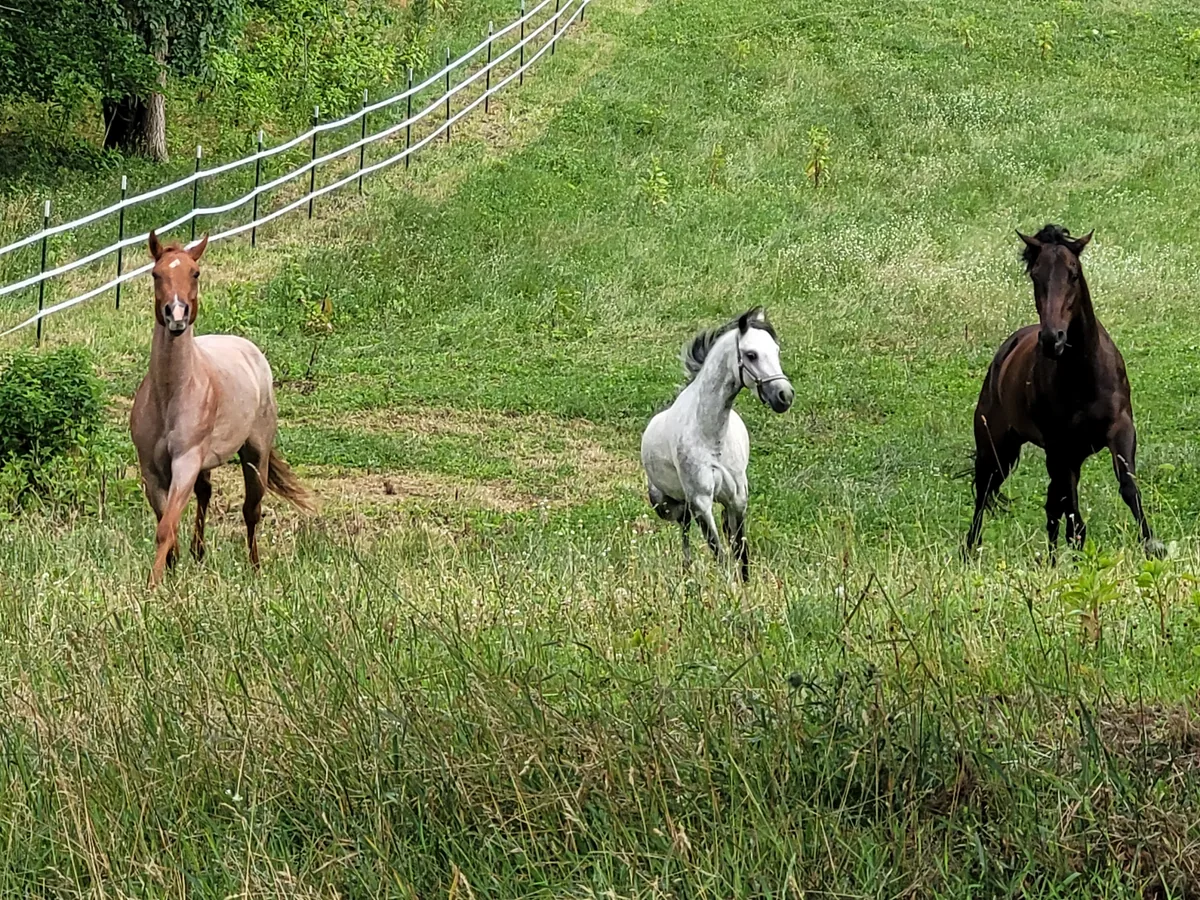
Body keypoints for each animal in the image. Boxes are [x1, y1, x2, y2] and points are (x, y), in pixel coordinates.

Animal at [130, 231, 315, 588]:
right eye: (156, 274)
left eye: (195, 273)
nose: (176, 315)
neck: (170, 396)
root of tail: (250, 351)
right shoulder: (151, 470)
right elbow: (166, 524)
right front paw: (170, 572)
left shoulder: (186, 461)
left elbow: (166, 527)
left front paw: (153, 585)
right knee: (206, 493)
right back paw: (198, 553)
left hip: (255, 454)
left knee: (251, 510)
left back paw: (255, 568)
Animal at [641, 307, 794, 581]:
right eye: (751, 355)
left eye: (776, 351)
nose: (784, 396)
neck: (712, 438)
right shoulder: (701, 502)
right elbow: (719, 552)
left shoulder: (738, 498)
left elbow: (741, 550)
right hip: (672, 505)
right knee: (685, 532)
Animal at [965, 224, 1164, 560]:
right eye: (1035, 275)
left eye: (1073, 273)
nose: (1052, 339)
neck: (1083, 376)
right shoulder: (1060, 446)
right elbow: (1071, 511)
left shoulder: (1121, 429)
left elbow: (1127, 486)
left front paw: (1151, 544)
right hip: (997, 447)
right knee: (984, 493)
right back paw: (971, 551)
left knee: (1050, 505)